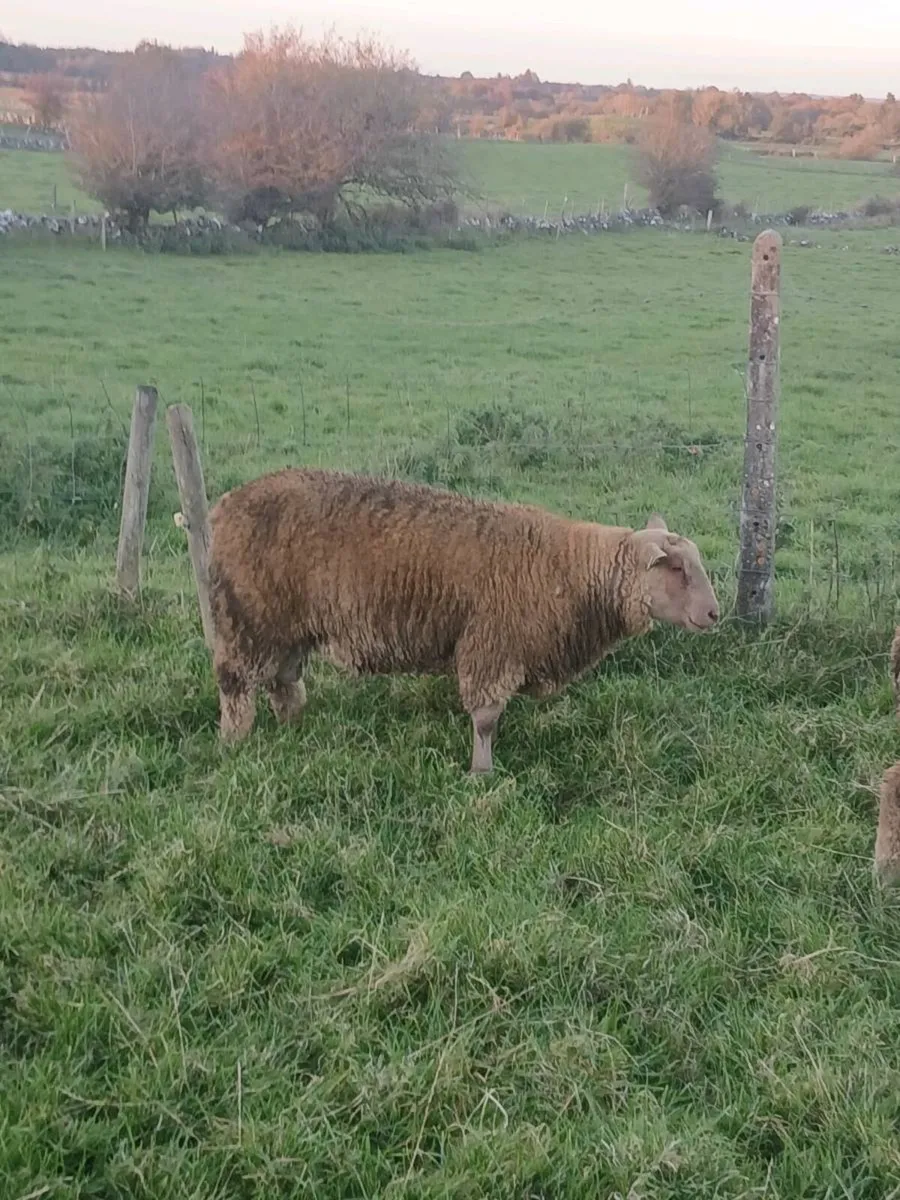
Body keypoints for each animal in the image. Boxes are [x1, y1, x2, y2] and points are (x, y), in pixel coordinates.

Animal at [206, 467, 720, 773]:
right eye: (676, 568)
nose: (715, 613)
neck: (570, 570)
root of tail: (224, 505)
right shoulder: (491, 647)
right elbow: (486, 719)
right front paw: (482, 772)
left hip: (285, 625)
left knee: (283, 680)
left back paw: (294, 729)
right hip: (246, 618)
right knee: (236, 684)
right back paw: (234, 743)